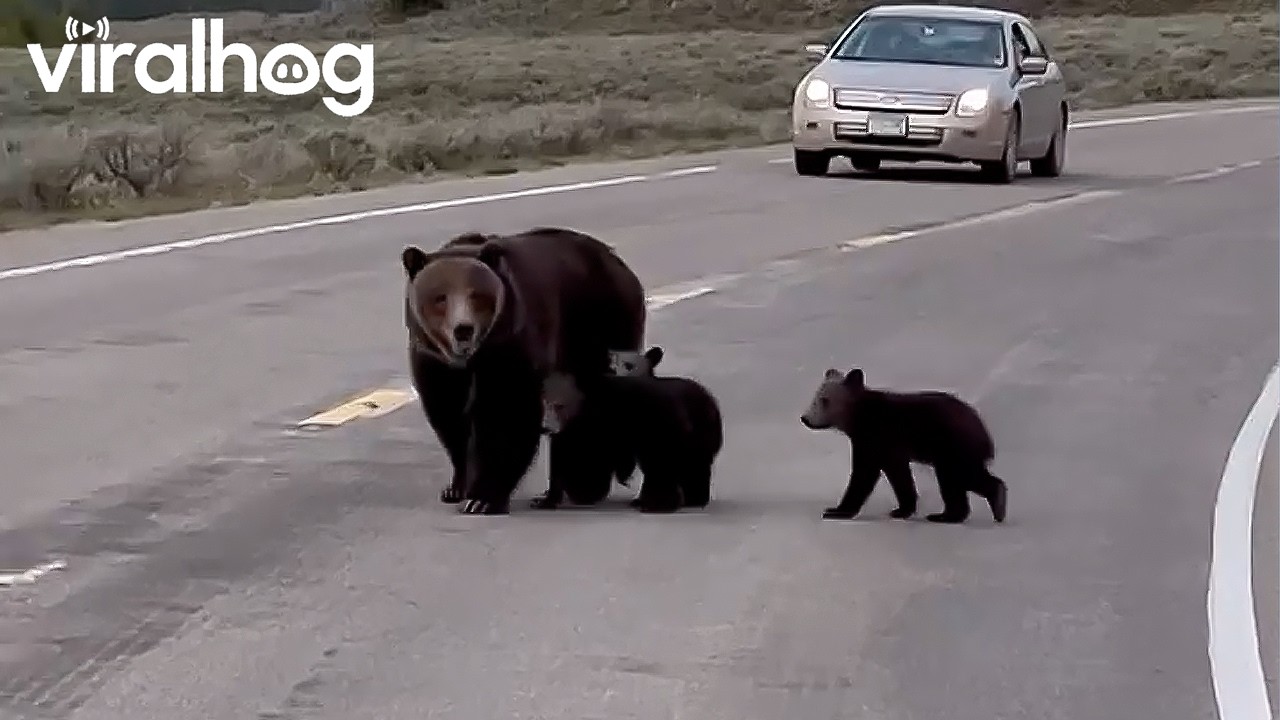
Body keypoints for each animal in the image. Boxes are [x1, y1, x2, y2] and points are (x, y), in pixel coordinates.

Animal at [402, 226, 647, 515]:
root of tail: (620, 264)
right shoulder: (434, 361)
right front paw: (456, 488)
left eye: (476, 295)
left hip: (599, 325)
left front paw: (483, 498)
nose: (463, 329)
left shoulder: (512, 345)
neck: (472, 358)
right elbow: (448, 416)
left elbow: (507, 412)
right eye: (440, 297)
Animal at [540, 368, 724, 512]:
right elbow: (569, 460)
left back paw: (690, 498)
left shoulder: (642, 416)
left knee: (690, 466)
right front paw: (549, 498)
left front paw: (658, 503)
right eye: (545, 403)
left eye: (559, 405)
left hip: (698, 432)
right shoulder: (580, 432)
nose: (545, 428)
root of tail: (709, 397)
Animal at [799, 367, 1008, 524]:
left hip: (951, 445)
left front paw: (836, 510)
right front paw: (902, 509)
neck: (860, 417)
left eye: (825, 400)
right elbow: (898, 475)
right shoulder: (888, 446)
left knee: (957, 476)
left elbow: (864, 473)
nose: (806, 419)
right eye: (816, 396)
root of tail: (984, 433)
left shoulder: (877, 436)